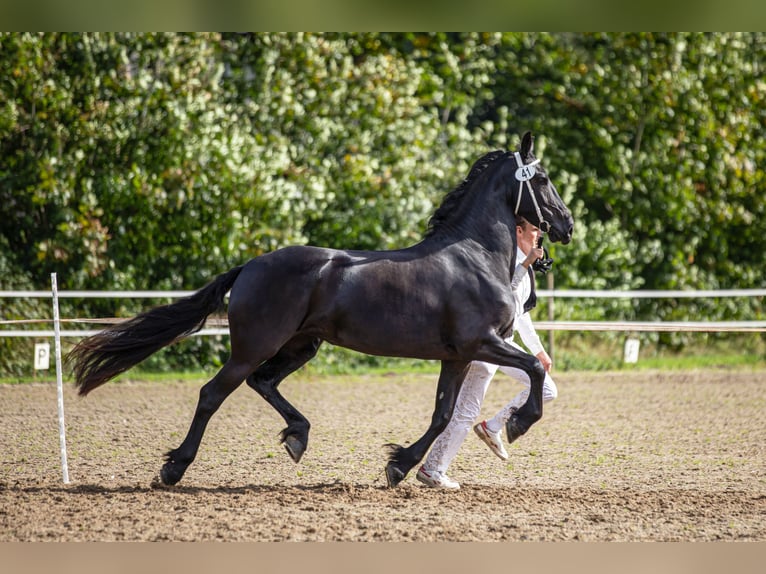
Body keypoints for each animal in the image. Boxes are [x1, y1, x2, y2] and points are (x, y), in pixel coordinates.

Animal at [70, 133, 576, 488]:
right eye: (543, 179)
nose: (567, 225)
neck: (474, 255)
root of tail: (250, 265)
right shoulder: (483, 342)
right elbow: (534, 367)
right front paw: (518, 424)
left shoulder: (457, 355)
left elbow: (443, 414)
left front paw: (398, 466)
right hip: (254, 346)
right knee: (213, 393)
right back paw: (174, 469)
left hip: (302, 345)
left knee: (263, 383)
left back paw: (298, 436)